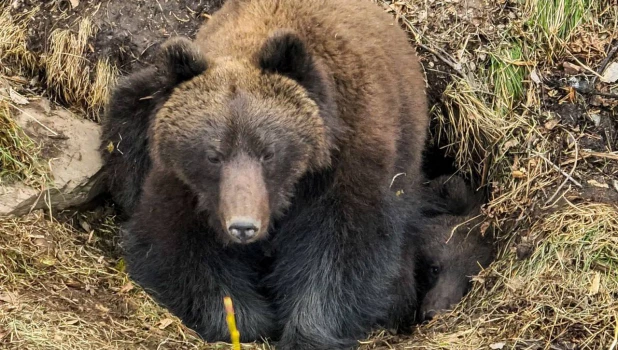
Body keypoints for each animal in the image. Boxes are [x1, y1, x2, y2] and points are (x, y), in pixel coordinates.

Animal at [101, 1, 428, 348]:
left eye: (268, 152)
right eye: (213, 155)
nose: (243, 226)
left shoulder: (346, 166)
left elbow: (344, 248)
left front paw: (307, 331)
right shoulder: (184, 184)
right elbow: (174, 246)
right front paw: (245, 319)